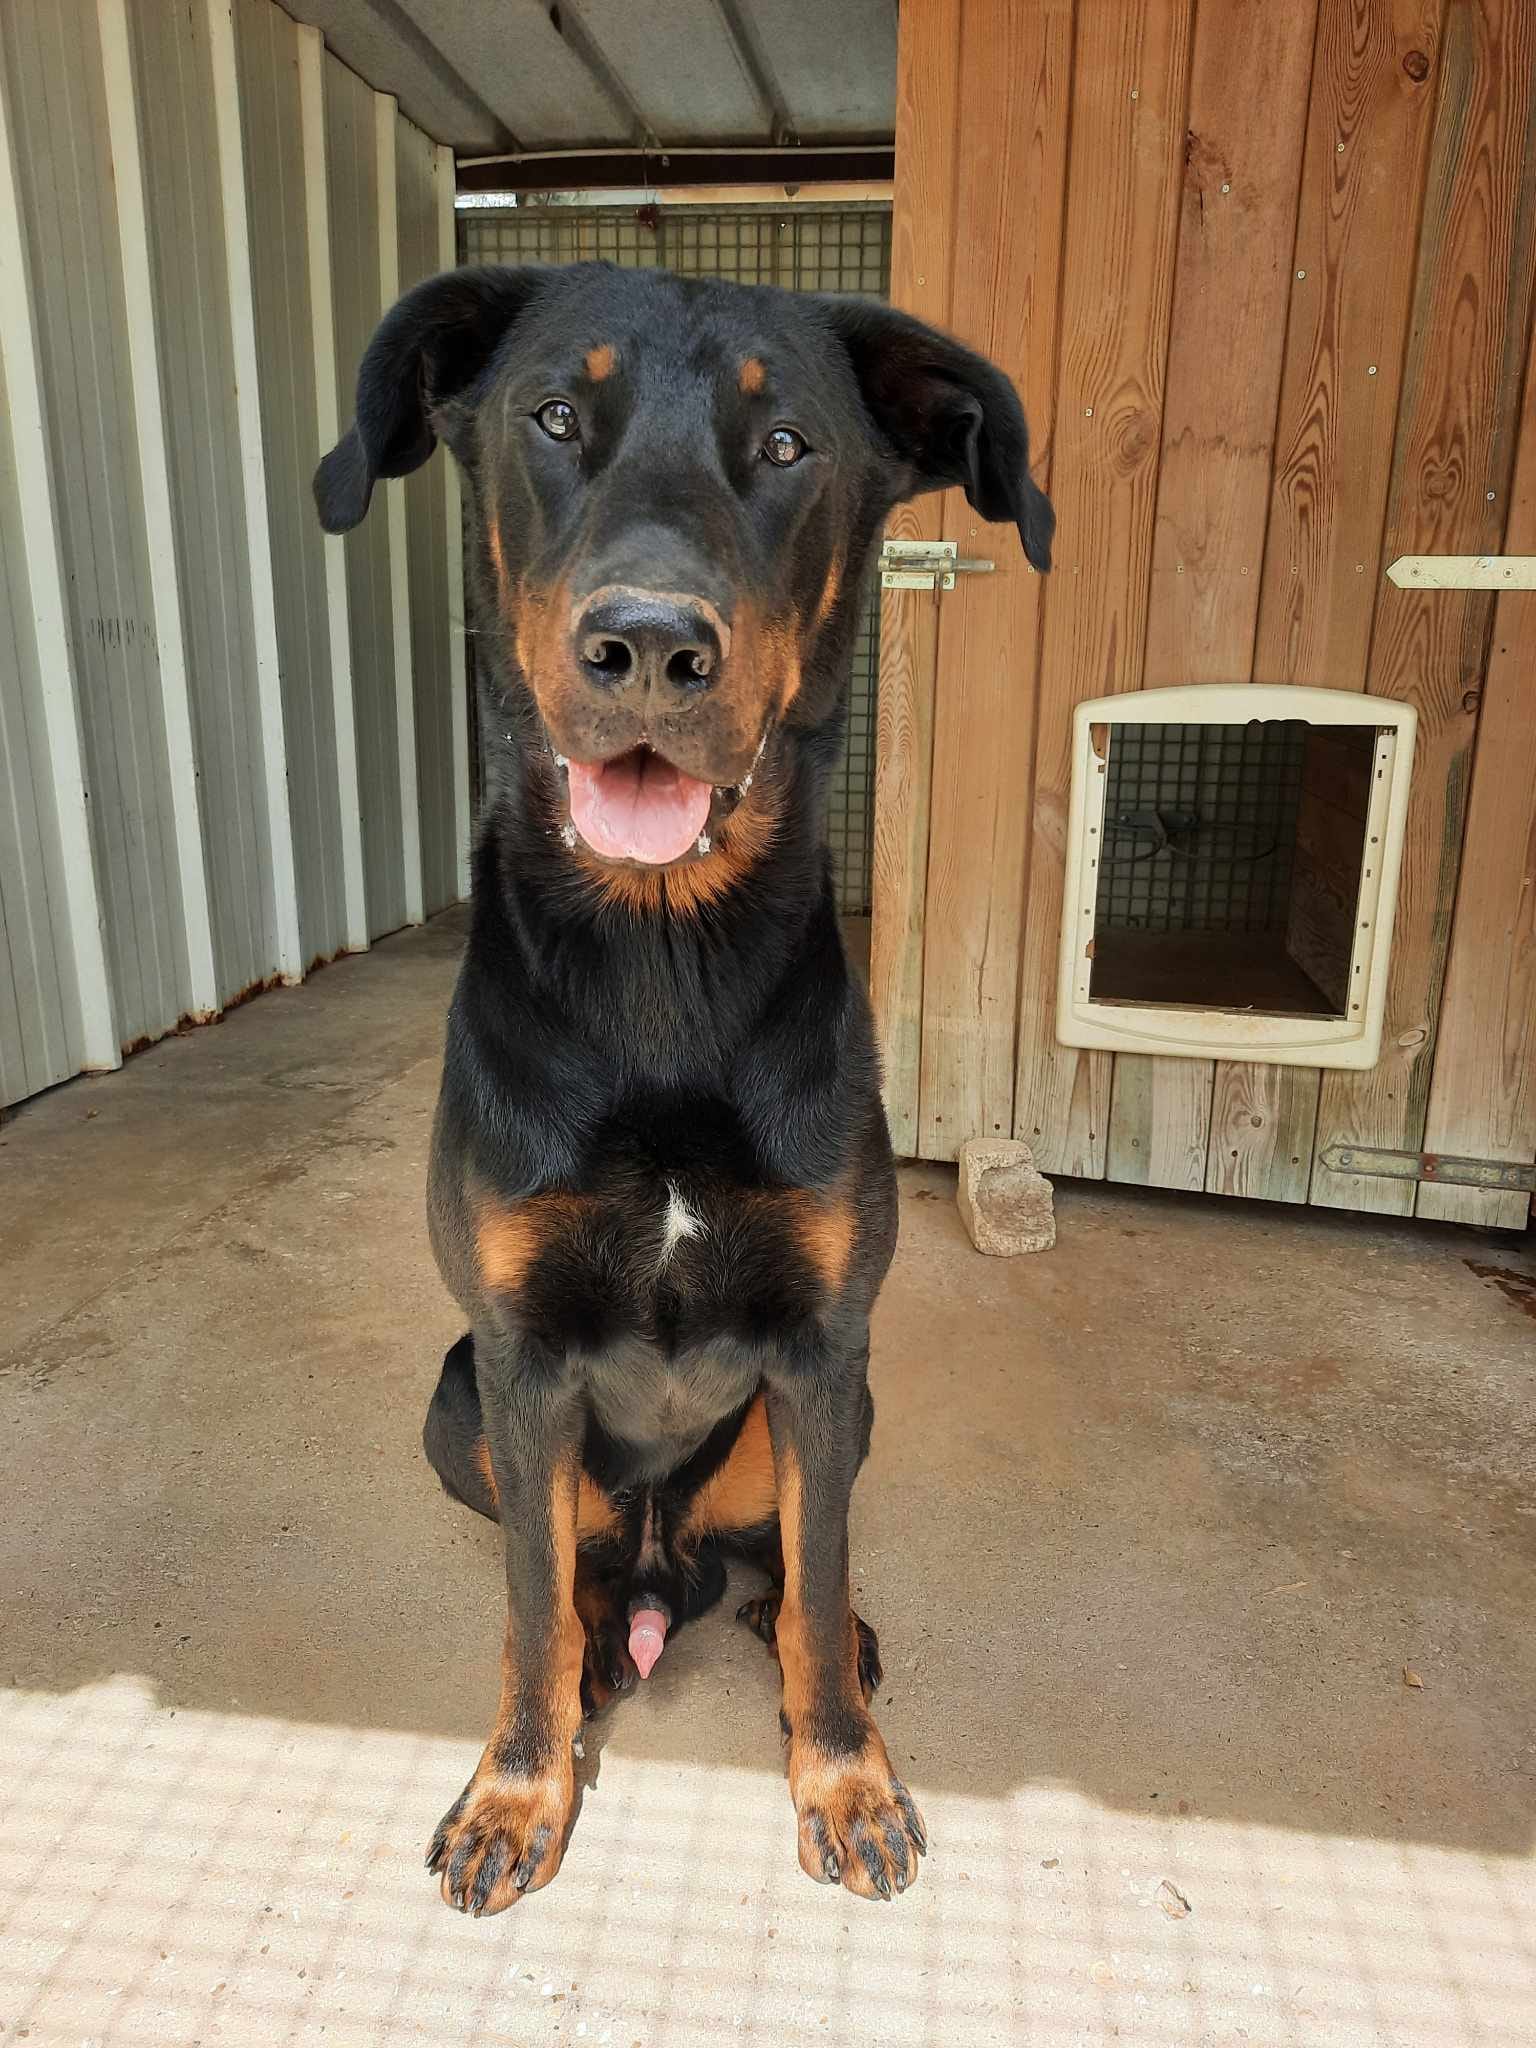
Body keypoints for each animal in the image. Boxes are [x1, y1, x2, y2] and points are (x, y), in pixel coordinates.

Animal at [314, 260, 1051, 1913]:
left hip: (829, 1409)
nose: (649, 647)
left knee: (785, 1568)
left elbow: (821, 1572)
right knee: (574, 1577)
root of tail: (667, 1557)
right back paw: (603, 1642)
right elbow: (527, 1610)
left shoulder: (824, 1344)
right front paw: (517, 1795)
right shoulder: (518, 1361)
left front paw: (844, 1777)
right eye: (551, 416)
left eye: (787, 446)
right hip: (458, 1405)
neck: (660, 964)